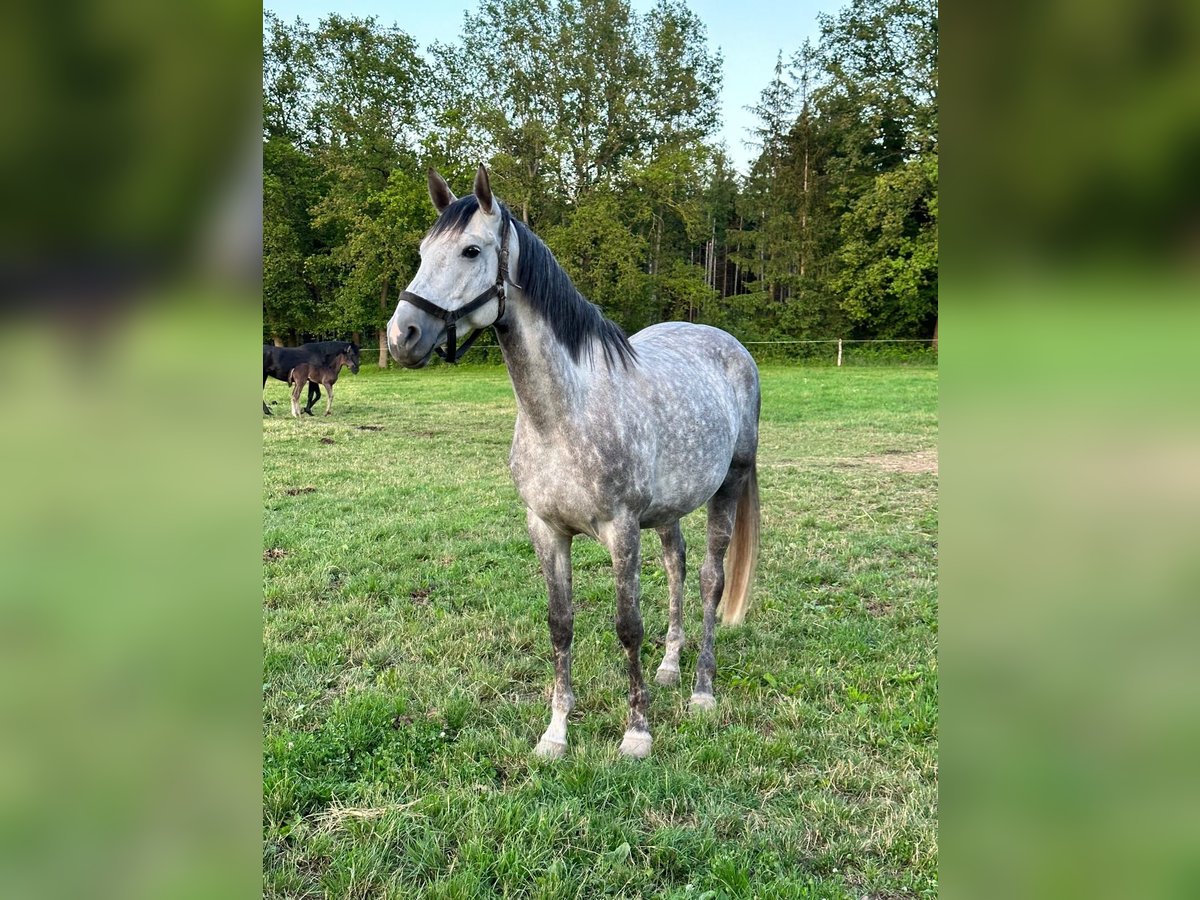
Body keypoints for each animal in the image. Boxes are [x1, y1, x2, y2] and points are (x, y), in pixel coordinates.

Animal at [386, 166, 760, 760]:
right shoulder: (546, 529)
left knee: (708, 579)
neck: (565, 413)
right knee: (676, 567)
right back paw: (670, 667)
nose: (402, 336)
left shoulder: (621, 530)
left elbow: (628, 626)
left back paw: (702, 689)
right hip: (669, 510)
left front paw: (637, 733)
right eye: (423, 251)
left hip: (728, 486)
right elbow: (560, 625)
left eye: (471, 250)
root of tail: (731, 347)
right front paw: (556, 733)